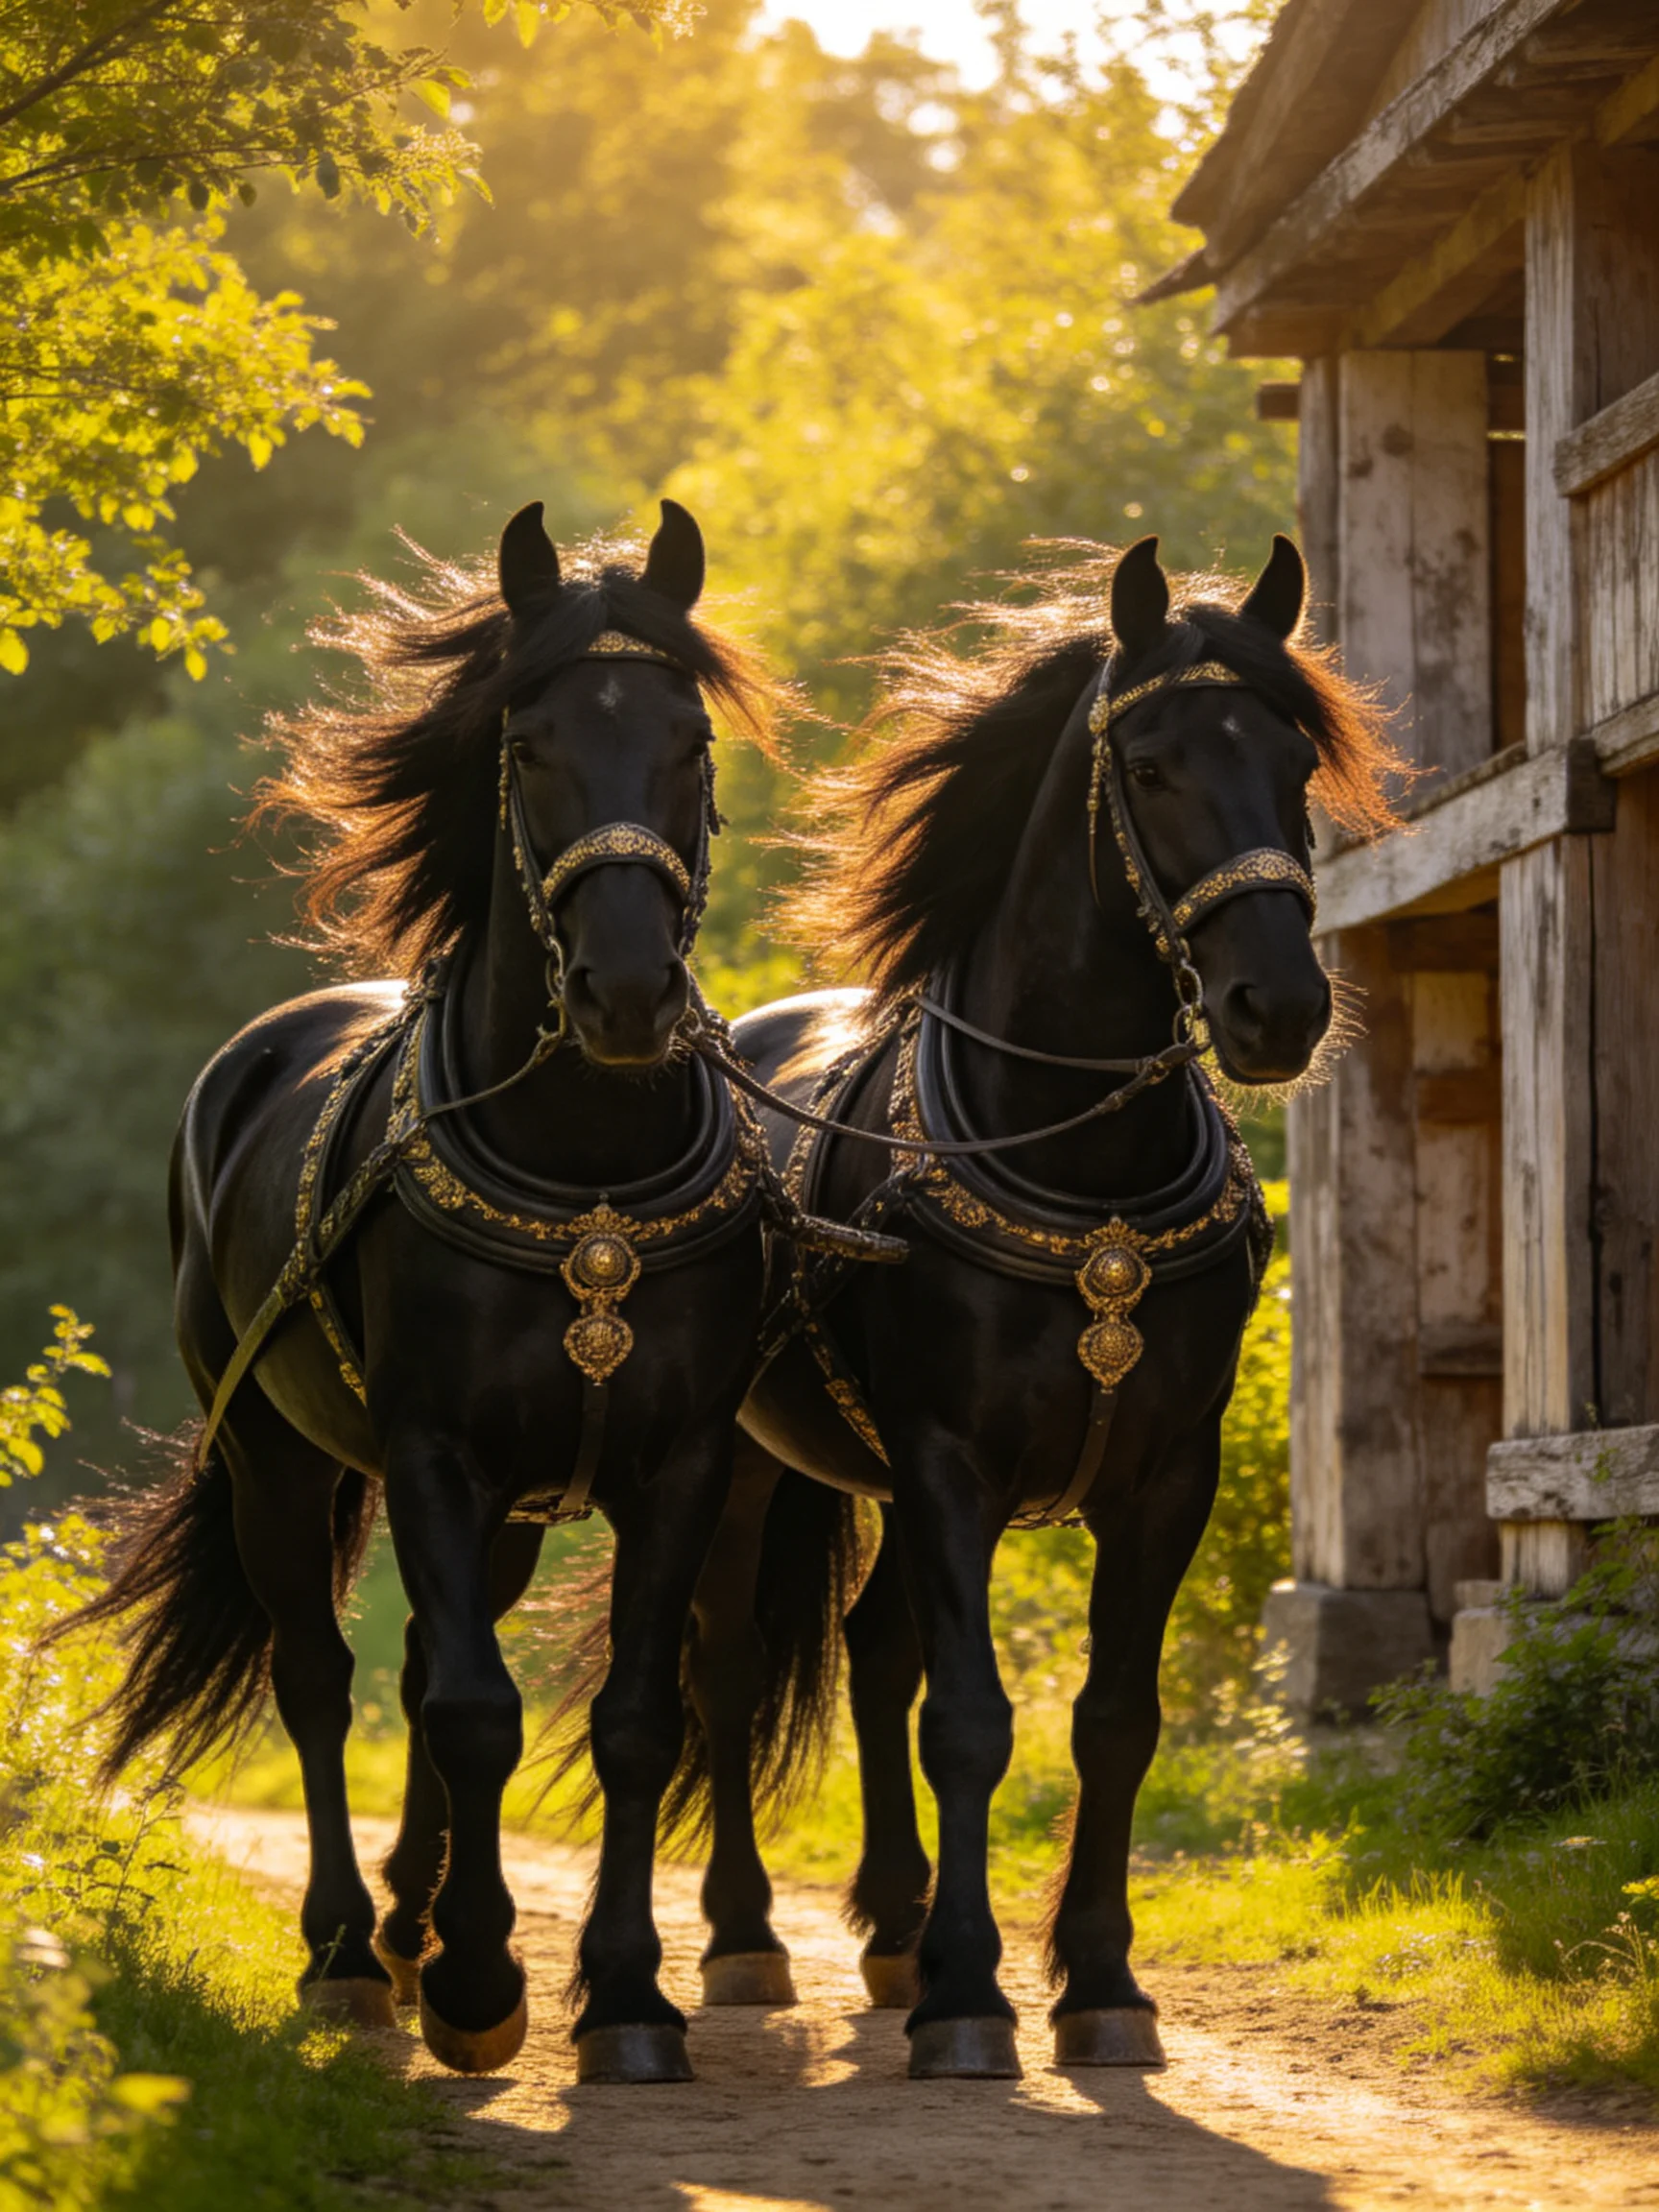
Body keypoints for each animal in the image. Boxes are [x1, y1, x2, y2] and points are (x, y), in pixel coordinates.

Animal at [53, 498, 796, 2085]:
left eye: (689, 741)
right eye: (531, 745)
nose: (627, 993)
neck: (584, 1171)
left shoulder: (679, 1460)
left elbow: (632, 1718)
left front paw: (622, 1997)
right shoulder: (434, 1455)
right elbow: (469, 1710)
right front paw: (474, 1982)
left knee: (400, 1669)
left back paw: (406, 1920)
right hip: (276, 1455)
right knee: (323, 1677)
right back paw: (349, 1952)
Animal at [676, 533, 1399, 2078]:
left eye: (1297, 762)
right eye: (1153, 764)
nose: (1278, 1009)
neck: (1081, 1173)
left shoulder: (1165, 1475)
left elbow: (1113, 1719)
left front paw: (1100, 1985)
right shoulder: (951, 1463)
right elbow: (970, 1721)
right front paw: (968, 1997)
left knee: (872, 1650)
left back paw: (889, 1927)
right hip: (744, 1469)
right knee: (727, 1666)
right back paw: (750, 1940)